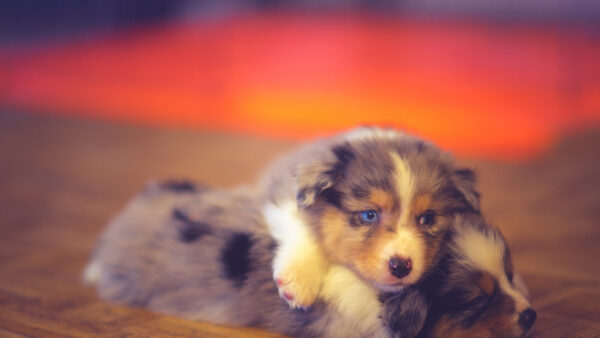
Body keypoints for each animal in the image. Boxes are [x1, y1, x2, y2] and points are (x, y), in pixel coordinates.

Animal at [260, 127, 480, 308]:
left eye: (427, 219)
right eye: (369, 215)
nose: (401, 267)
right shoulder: (283, 194)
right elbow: (304, 224)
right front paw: (298, 279)